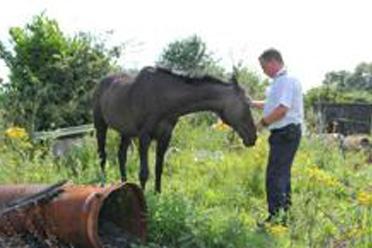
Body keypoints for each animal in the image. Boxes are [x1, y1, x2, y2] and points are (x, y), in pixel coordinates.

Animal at [92, 67, 256, 193]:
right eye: (246, 104)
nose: (253, 137)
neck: (163, 99)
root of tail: (101, 82)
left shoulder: (165, 137)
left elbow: (159, 168)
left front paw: (158, 194)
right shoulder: (144, 137)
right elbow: (144, 172)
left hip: (126, 132)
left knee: (121, 156)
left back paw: (123, 184)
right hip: (100, 125)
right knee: (102, 156)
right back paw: (103, 184)